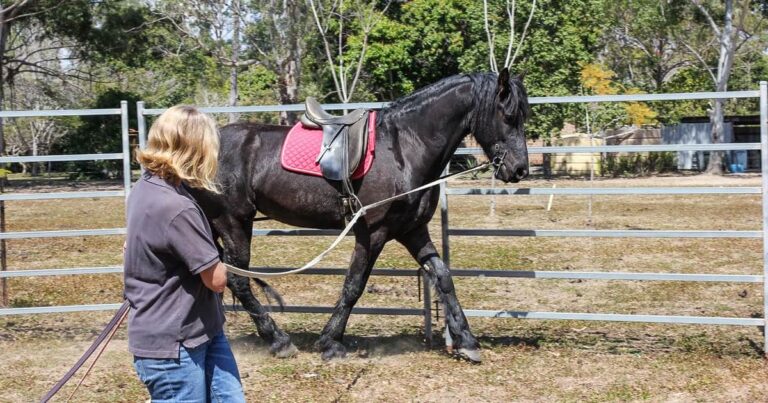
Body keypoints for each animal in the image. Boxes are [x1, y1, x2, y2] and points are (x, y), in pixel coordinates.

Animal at [190, 68, 530, 363]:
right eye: (508, 116)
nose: (519, 170)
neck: (404, 148)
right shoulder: (373, 233)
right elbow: (354, 285)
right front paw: (331, 342)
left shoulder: (413, 230)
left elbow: (443, 277)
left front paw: (467, 341)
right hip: (233, 223)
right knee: (237, 280)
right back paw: (278, 340)